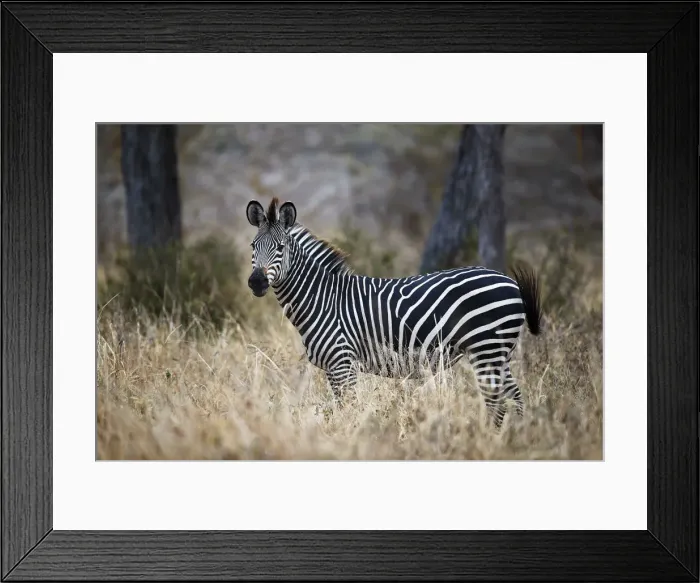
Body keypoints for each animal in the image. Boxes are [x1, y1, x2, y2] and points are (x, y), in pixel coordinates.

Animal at [246, 197, 542, 428]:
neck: (322, 298)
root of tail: (509, 281)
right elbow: (343, 410)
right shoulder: (334, 368)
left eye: (280, 248)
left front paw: (350, 438)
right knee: (514, 398)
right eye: (252, 246)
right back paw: (513, 437)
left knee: (496, 402)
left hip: (487, 348)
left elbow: (348, 410)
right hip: (497, 352)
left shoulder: (342, 362)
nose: (256, 282)